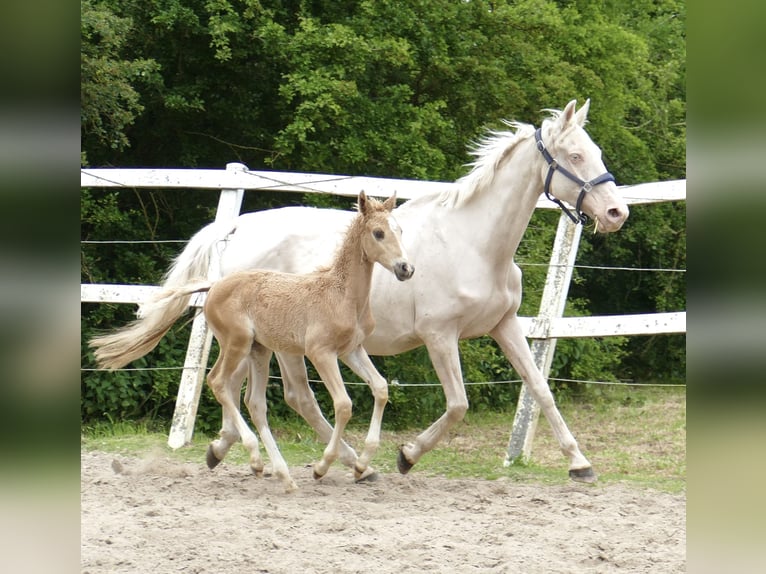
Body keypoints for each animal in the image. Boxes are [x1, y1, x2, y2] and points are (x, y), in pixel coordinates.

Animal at [184, 192, 412, 490]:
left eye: (400, 230)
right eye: (378, 233)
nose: (406, 268)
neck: (343, 295)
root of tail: (214, 287)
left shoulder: (352, 350)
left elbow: (381, 388)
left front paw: (363, 463)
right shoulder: (321, 353)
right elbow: (343, 404)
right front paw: (322, 467)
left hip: (259, 350)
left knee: (254, 402)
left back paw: (280, 472)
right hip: (237, 342)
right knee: (218, 382)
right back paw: (257, 458)